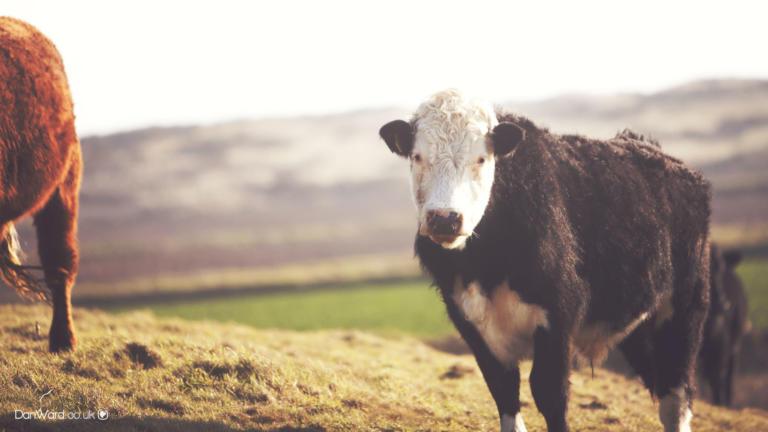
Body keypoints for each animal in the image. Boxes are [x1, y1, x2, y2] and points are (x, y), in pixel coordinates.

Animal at [379, 90, 711, 432]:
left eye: (481, 158)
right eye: (418, 156)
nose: (445, 219)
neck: (486, 265)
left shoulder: (558, 313)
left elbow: (549, 392)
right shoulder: (470, 320)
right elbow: (502, 389)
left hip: (684, 307)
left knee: (675, 394)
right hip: (637, 322)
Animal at [699, 245, 749, 406]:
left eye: (721, 270)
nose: (722, 303)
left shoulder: (721, 349)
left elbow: (717, 380)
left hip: (735, 346)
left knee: (728, 377)